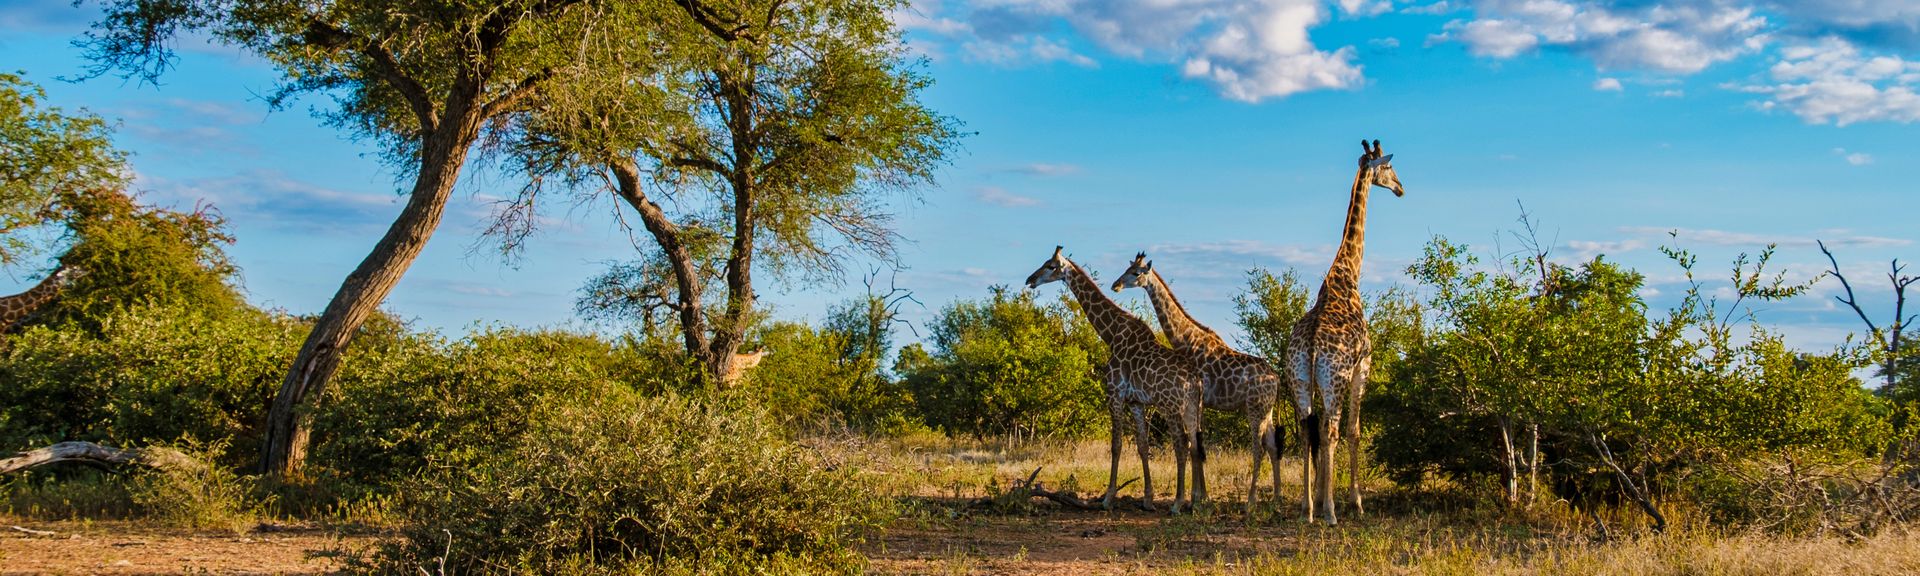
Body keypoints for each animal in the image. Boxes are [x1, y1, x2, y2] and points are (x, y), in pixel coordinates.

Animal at [1027, 246, 1207, 513]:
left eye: (1050, 266)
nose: (1030, 279)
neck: (1110, 334)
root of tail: (1195, 380)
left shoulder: (1114, 393)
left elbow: (1116, 445)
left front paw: (1108, 498)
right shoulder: (1136, 402)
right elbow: (1142, 446)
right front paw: (1147, 500)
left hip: (1171, 406)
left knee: (1181, 444)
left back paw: (1177, 503)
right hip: (1193, 407)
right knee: (1195, 444)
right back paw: (1195, 501)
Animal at [1113, 253, 1291, 515]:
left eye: (1136, 273)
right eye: (1127, 268)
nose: (1115, 285)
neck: (1186, 339)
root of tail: (1276, 379)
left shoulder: (1199, 399)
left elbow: (1195, 445)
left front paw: (1197, 498)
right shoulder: (1202, 402)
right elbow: (1197, 444)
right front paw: (1200, 497)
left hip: (1254, 408)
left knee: (1258, 448)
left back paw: (1250, 502)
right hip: (1266, 410)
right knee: (1272, 446)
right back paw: (1277, 498)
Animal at [1287, 139, 1404, 525]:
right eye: (1389, 168)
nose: (1400, 188)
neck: (1347, 274)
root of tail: (1310, 347)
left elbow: (1318, 435)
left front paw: (1320, 498)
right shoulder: (1362, 367)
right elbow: (1354, 432)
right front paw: (1355, 501)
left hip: (1299, 380)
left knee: (1308, 430)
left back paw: (1308, 509)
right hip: (1334, 379)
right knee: (1332, 431)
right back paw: (1332, 512)